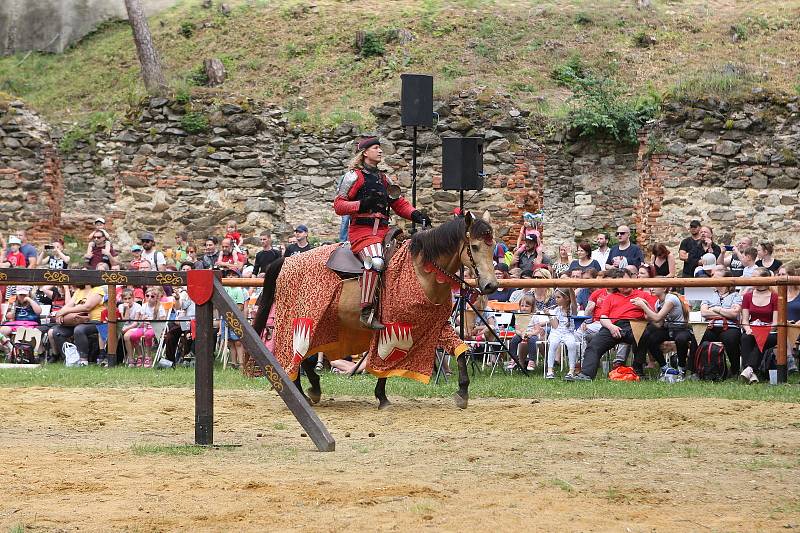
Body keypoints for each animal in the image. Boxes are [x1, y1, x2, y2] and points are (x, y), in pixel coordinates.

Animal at [253, 212, 496, 408]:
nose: (490, 285)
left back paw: (312, 389)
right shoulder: (395, 327)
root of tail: (286, 261)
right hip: (301, 319)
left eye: (492, 246)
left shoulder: (436, 323)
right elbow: (385, 362)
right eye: (475, 247)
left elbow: (461, 349)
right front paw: (382, 397)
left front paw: (462, 391)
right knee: (295, 355)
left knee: (306, 358)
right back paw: (302, 393)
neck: (422, 271)